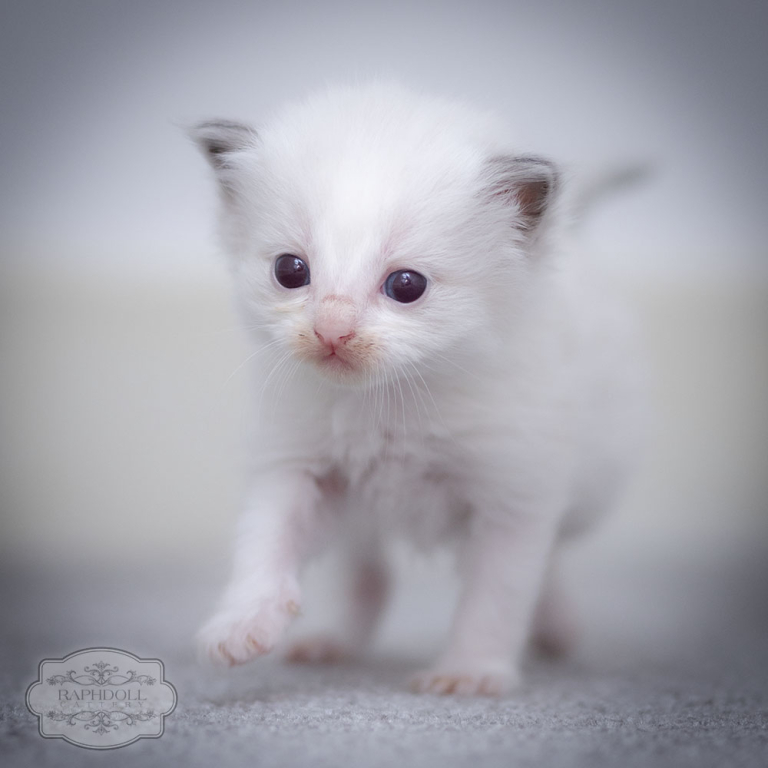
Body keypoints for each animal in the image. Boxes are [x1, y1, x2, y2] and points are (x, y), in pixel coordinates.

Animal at [190, 82, 640, 696]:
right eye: (289, 271)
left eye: (406, 285)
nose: (331, 329)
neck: (390, 403)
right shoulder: (296, 464)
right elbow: (265, 542)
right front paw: (242, 622)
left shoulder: (514, 494)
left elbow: (497, 594)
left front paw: (470, 672)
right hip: (359, 517)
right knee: (368, 575)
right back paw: (334, 642)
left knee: (548, 565)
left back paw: (557, 628)